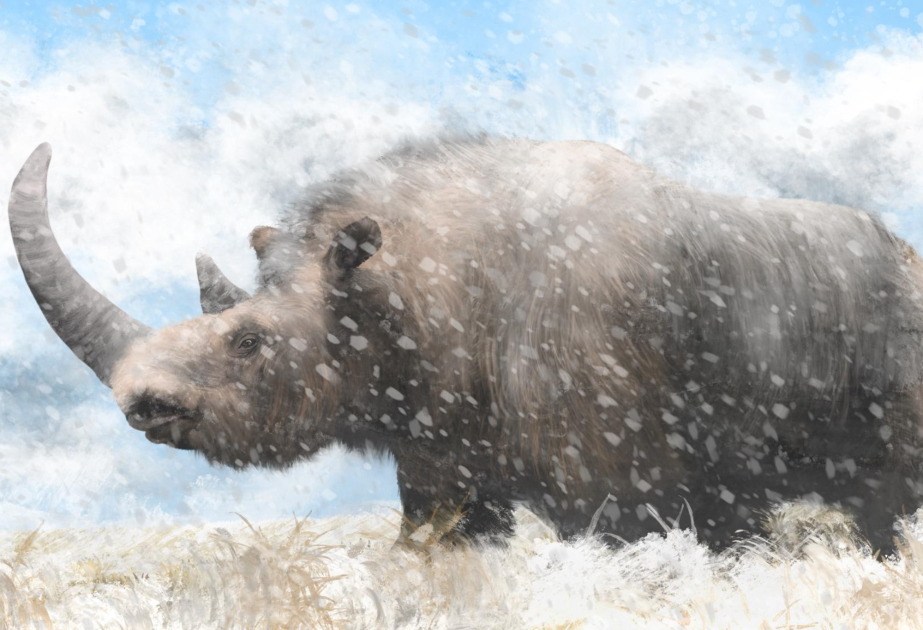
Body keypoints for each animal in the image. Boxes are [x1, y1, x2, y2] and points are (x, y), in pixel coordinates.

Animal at [10, 137, 923, 553]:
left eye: (248, 343)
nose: (143, 406)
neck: (407, 285)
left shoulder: (625, 481)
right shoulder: (439, 453)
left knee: (883, 502)